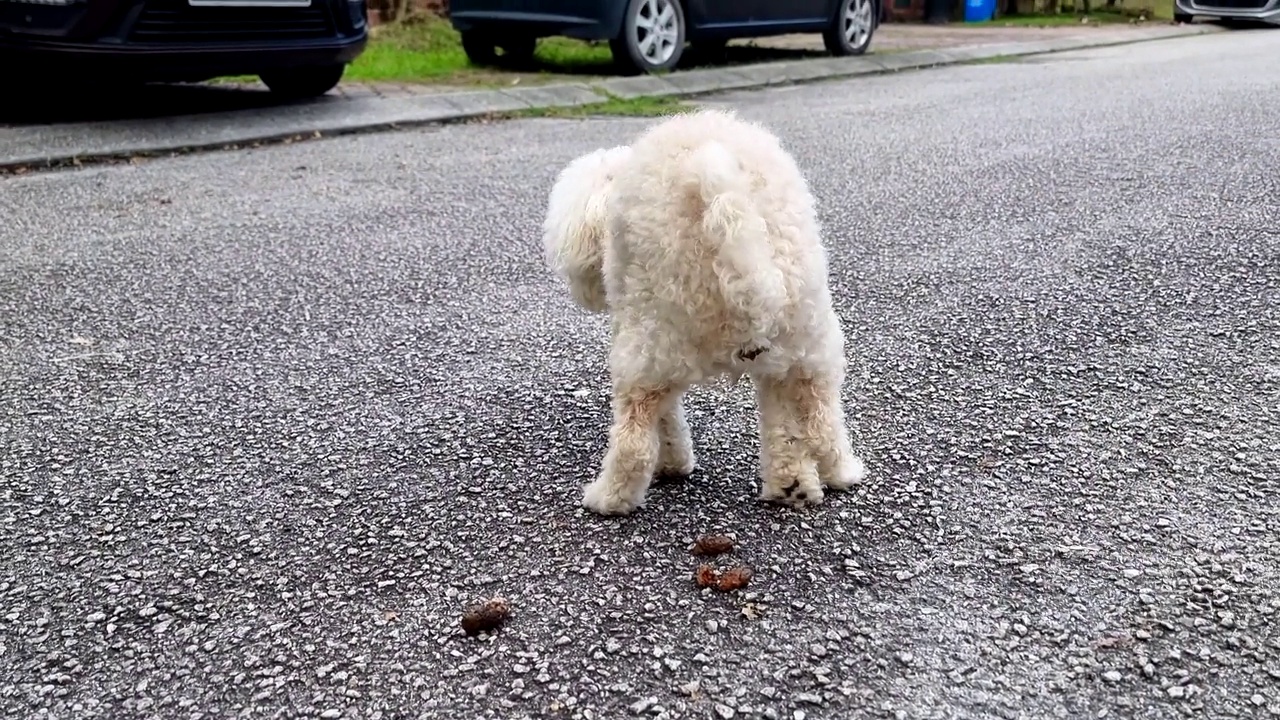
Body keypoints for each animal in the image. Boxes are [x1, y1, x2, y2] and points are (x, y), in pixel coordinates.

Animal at [540, 106, 870, 512]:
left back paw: (609, 499)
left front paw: (672, 463)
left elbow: (664, 421)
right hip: (806, 344)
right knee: (815, 421)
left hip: (648, 346)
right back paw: (814, 480)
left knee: (634, 439)